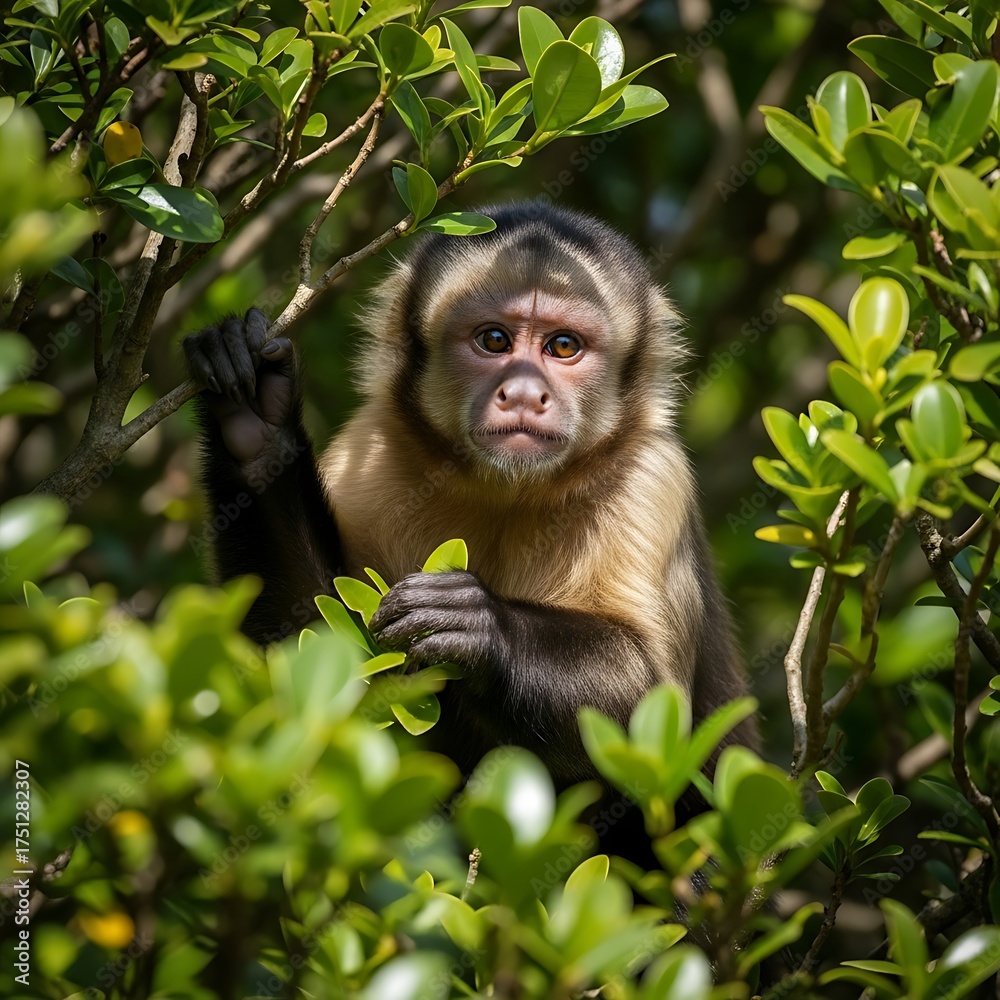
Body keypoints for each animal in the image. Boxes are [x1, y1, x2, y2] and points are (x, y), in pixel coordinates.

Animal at [183, 200, 757, 859]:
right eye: (494, 340)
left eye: (563, 346)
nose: (525, 392)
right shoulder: (370, 454)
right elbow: (311, 658)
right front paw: (256, 422)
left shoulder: (652, 481)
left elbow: (650, 723)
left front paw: (481, 626)